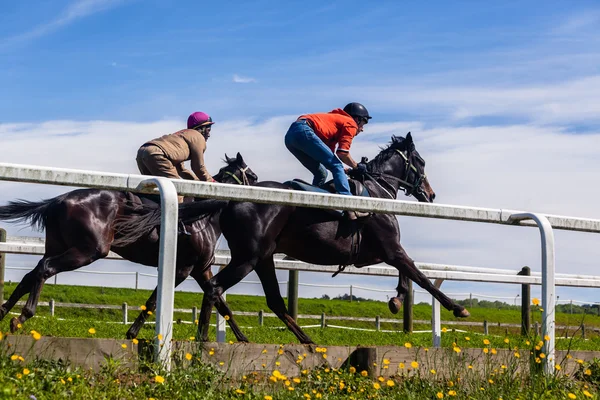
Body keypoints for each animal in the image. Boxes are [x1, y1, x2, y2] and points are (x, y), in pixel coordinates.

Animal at [0, 152, 256, 338]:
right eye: (252, 177)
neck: (205, 218)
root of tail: (57, 201)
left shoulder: (202, 270)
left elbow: (222, 305)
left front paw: (243, 339)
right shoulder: (183, 268)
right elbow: (153, 301)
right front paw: (131, 333)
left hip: (58, 246)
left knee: (31, 275)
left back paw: (4, 312)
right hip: (88, 250)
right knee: (46, 269)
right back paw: (22, 316)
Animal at [119, 134, 472, 344]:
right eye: (421, 162)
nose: (430, 194)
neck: (375, 193)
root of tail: (232, 200)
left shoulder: (382, 253)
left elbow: (407, 276)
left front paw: (397, 299)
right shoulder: (389, 248)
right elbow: (420, 276)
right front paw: (457, 308)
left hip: (262, 257)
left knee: (272, 301)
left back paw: (308, 343)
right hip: (248, 257)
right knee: (217, 289)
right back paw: (203, 340)